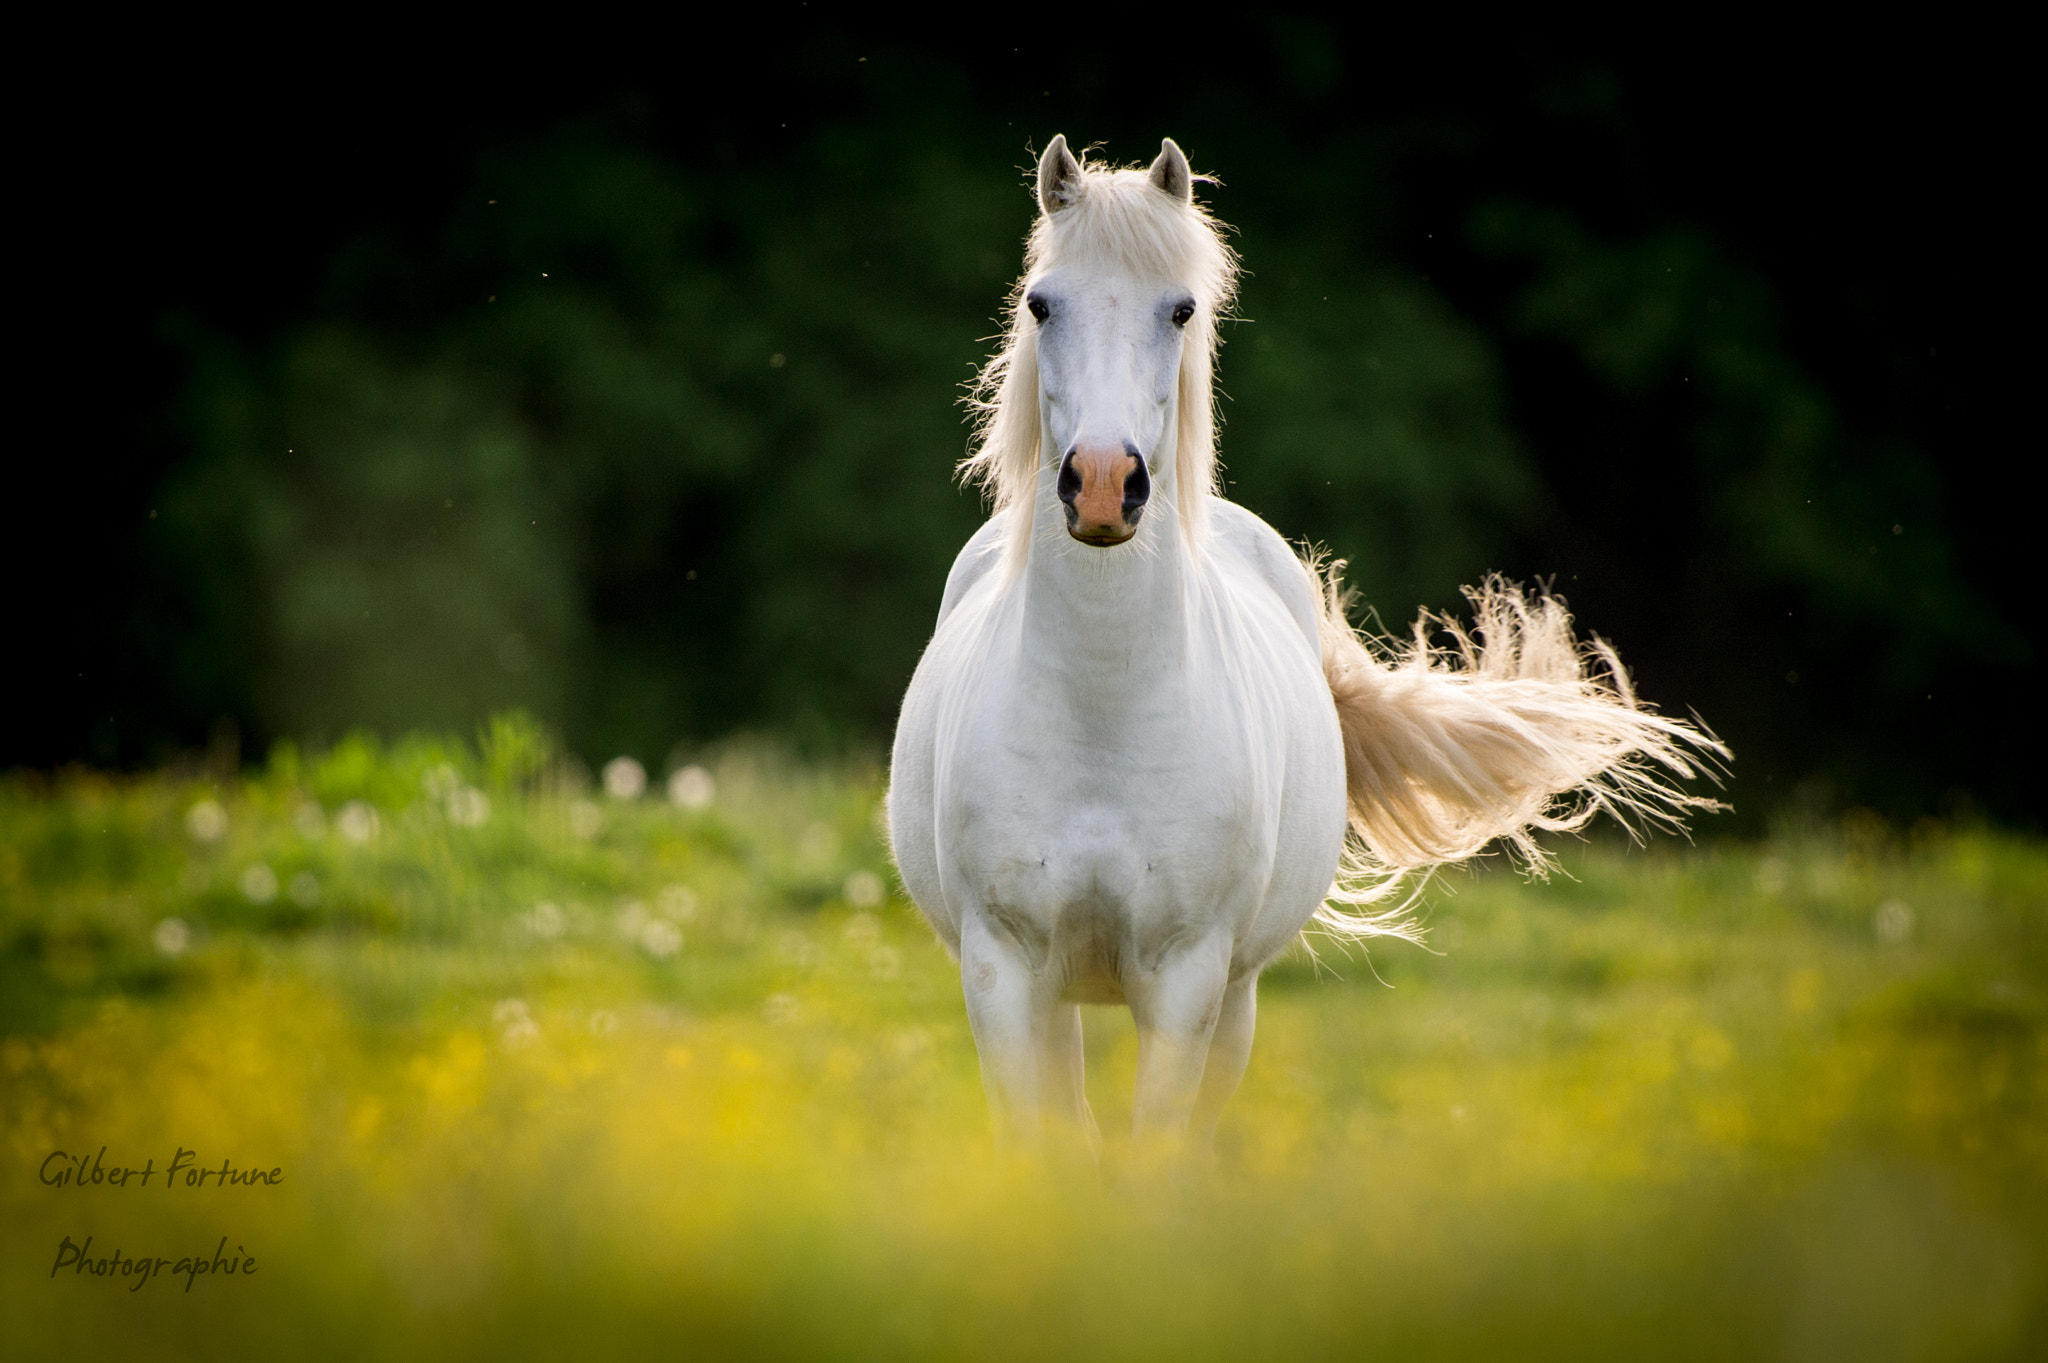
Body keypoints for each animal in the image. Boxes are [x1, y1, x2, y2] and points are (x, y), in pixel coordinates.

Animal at [887, 135, 1725, 1152]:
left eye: (1181, 308)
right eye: (1042, 303)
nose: (1103, 484)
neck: (1101, 719)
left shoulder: (1189, 980)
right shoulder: (1004, 973)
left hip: (1234, 1000)